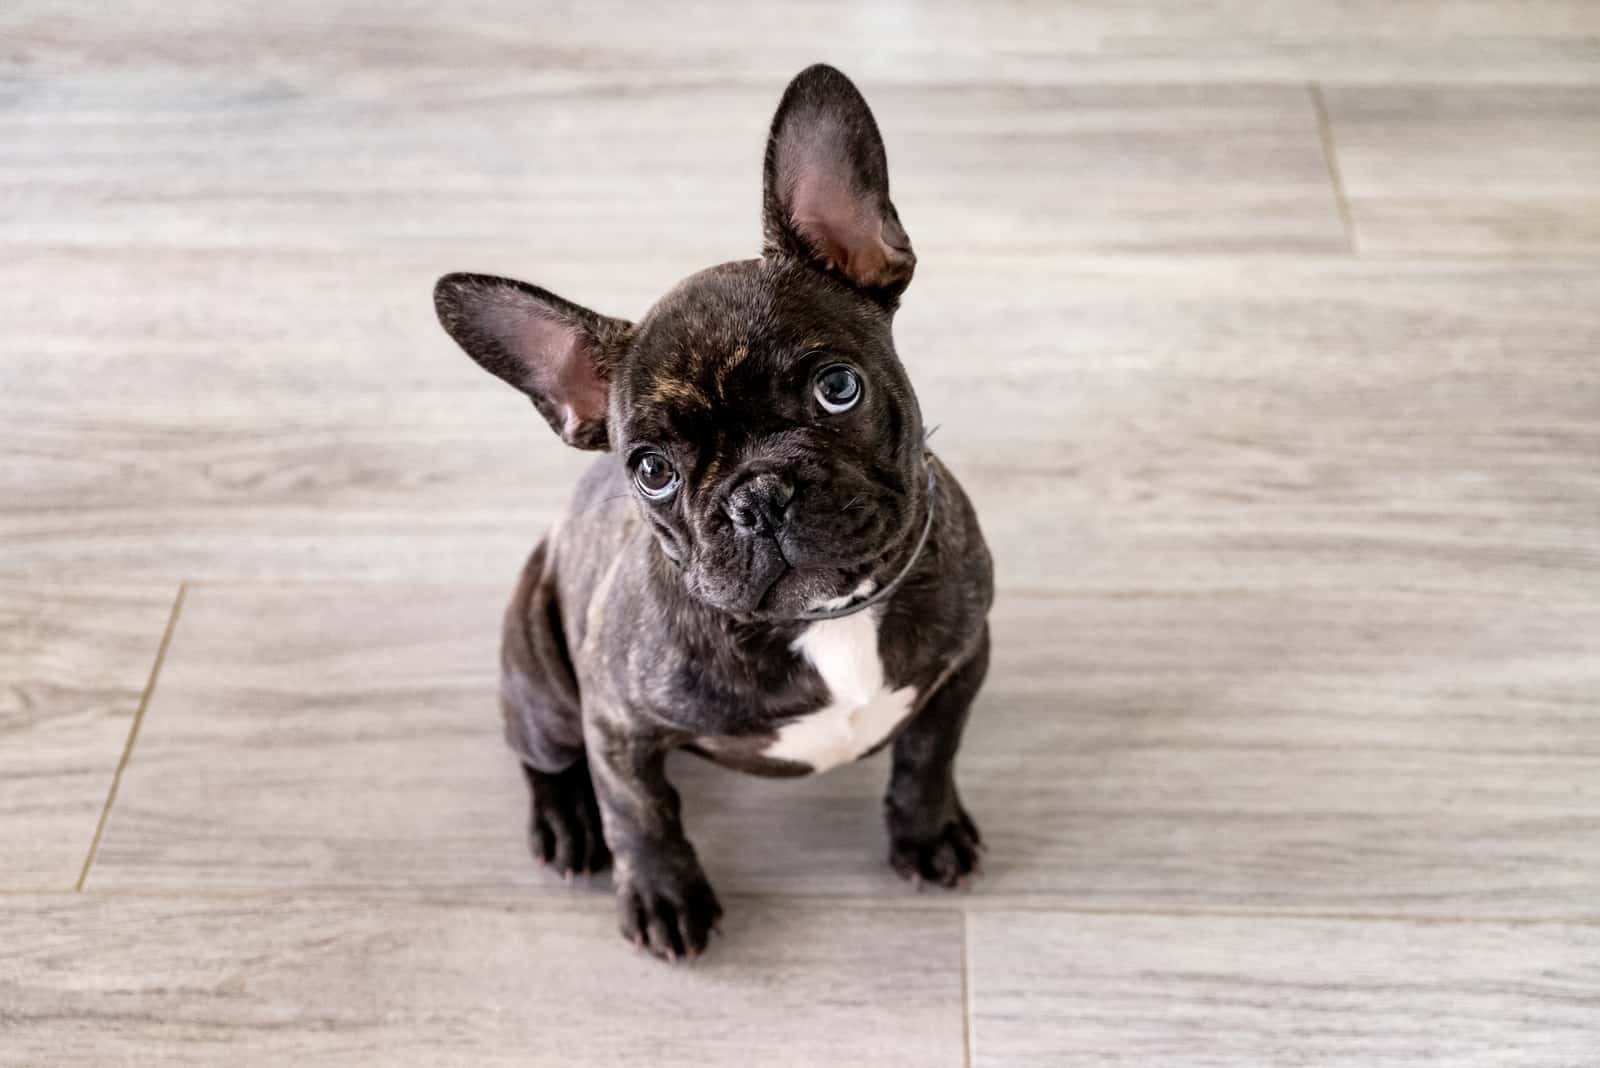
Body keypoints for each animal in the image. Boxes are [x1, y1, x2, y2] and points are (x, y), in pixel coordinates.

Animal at [432, 64, 992, 959]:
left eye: (839, 388)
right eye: (651, 470)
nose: (758, 497)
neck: (829, 620)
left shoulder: (963, 660)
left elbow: (928, 758)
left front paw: (927, 832)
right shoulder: (617, 724)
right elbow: (641, 813)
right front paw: (664, 895)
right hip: (543, 680)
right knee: (544, 754)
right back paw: (566, 822)